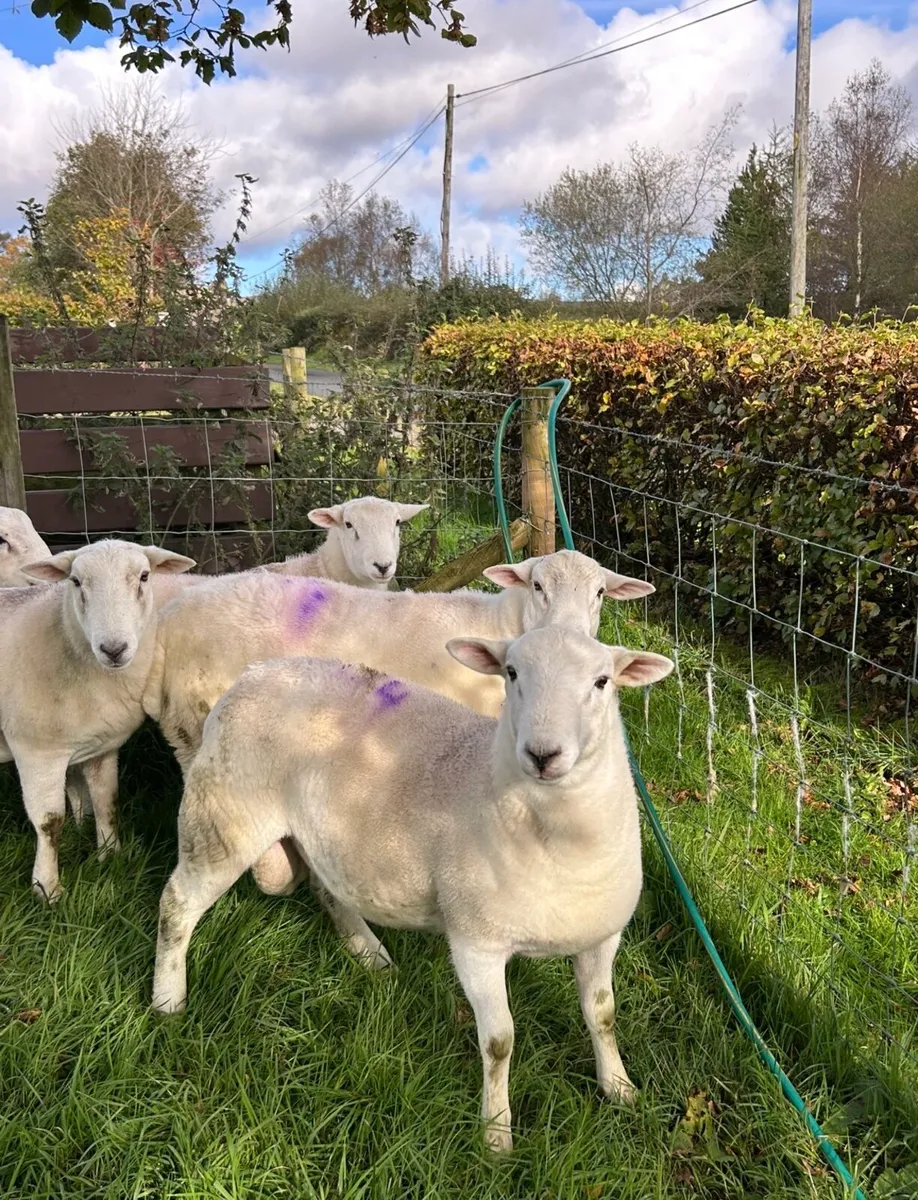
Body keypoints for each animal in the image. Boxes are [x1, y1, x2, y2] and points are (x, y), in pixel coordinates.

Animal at [0, 539, 194, 900]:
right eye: (75, 582)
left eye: (144, 576)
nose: (113, 649)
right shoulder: (35, 749)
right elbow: (49, 822)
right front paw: (47, 888)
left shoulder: (101, 745)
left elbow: (107, 801)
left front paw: (110, 855)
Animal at [152, 626, 674, 1152]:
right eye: (511, 672)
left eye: (602, 681)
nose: (543, 755)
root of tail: (254, 672)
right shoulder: (476, 943)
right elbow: (499, 1042)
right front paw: (496, 1135)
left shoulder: (602, 936)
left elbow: (603, 1015)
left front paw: (620, 1088)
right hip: (223, 814)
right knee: (177, 905)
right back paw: (167, 999)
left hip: (319, 832)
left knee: (326, 887)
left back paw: (369, 953)